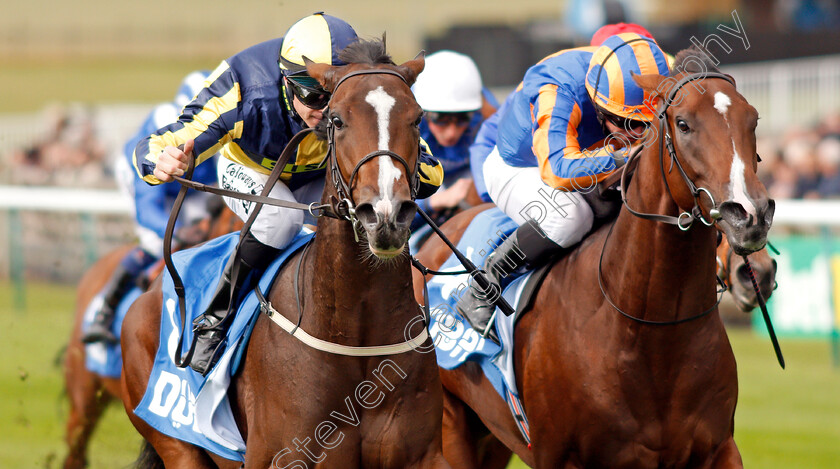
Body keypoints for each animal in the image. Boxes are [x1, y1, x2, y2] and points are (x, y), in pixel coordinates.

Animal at [119, 37, 452, 468]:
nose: (386, 214)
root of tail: (145, 296)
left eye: (416, 119)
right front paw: (170, 158)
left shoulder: (422, 455)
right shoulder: (282, 454)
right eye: (337, 120)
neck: (356, 337)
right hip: (176, 445)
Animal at [414, 48, 776, 468]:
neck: (652, 334)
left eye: (753, 119)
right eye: (683, 124)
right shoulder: (562, 456)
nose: (749, 215)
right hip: (451, 425)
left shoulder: (718, 447)